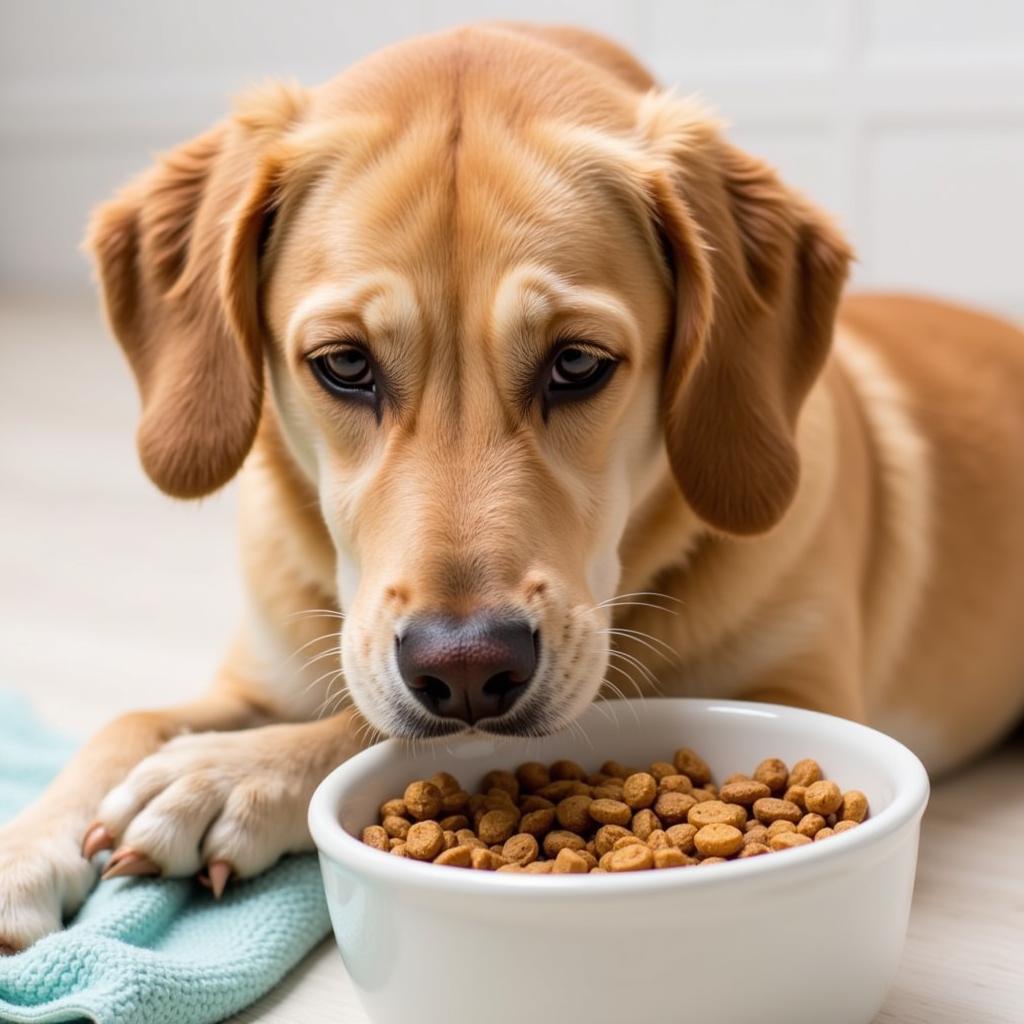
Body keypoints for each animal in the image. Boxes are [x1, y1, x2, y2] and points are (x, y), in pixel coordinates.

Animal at [2, 24, 1024, 950]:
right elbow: (130, 720)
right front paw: (28, 847)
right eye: (343, 365)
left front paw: (223, 775)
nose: (464, 668)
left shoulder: (804, 696)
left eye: (578, 364)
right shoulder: (261, 673)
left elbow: (371, 725)